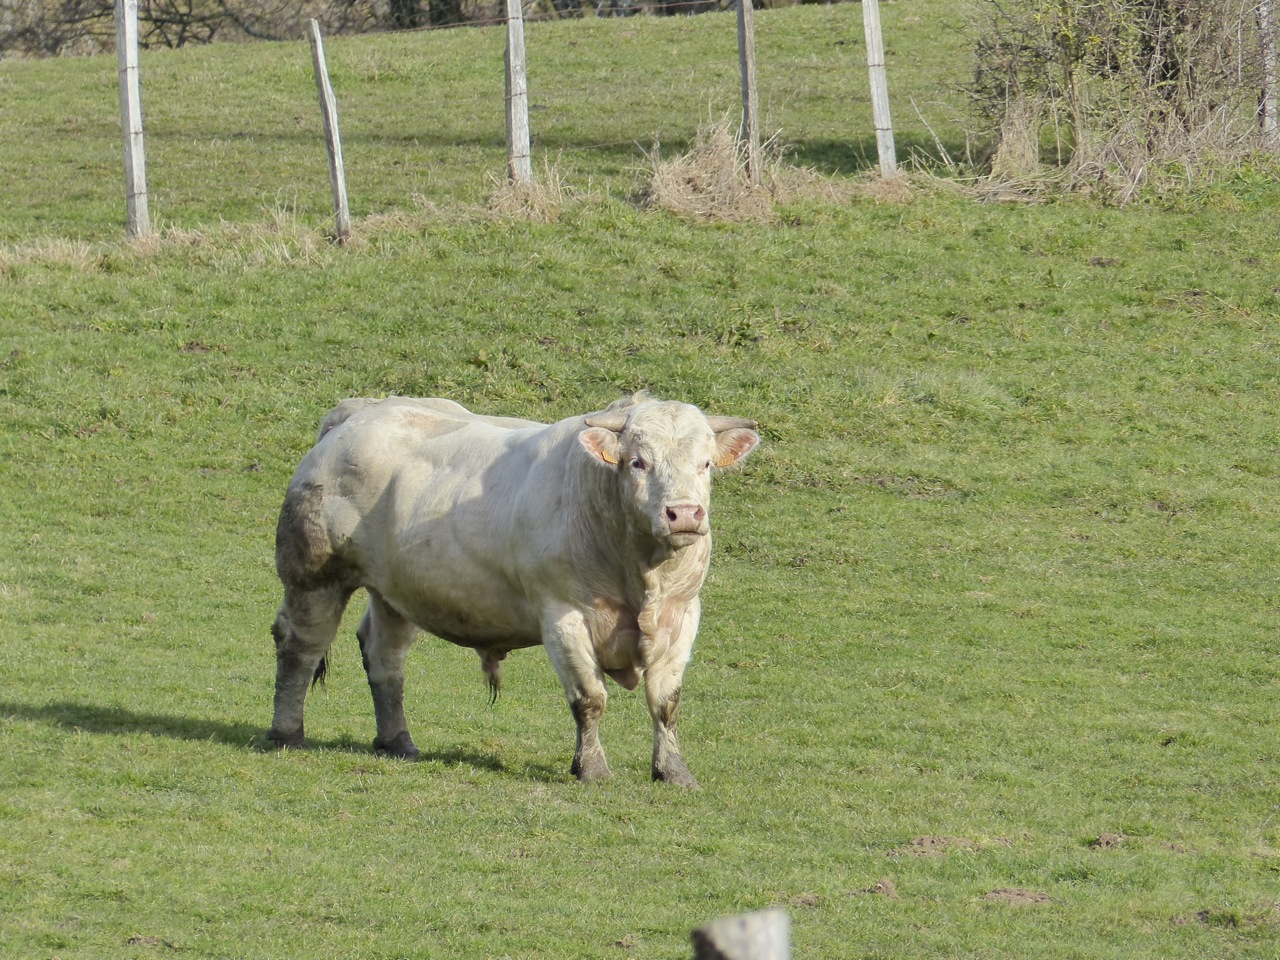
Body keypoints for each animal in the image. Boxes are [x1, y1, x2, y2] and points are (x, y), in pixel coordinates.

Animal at [268, 393, 759, 786]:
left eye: (706, 464)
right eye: (638, 461)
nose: (684, 513)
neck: (640, 572)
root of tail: (358, 412)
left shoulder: (683, 613)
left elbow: (666, 702)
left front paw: (674, 772)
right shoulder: (562, 614)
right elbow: (590, 698)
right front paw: (592, 769)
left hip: (395, 592)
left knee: (385, 656)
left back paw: (398, 741)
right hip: (314, 576)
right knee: (300, 646)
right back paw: (287, 733)